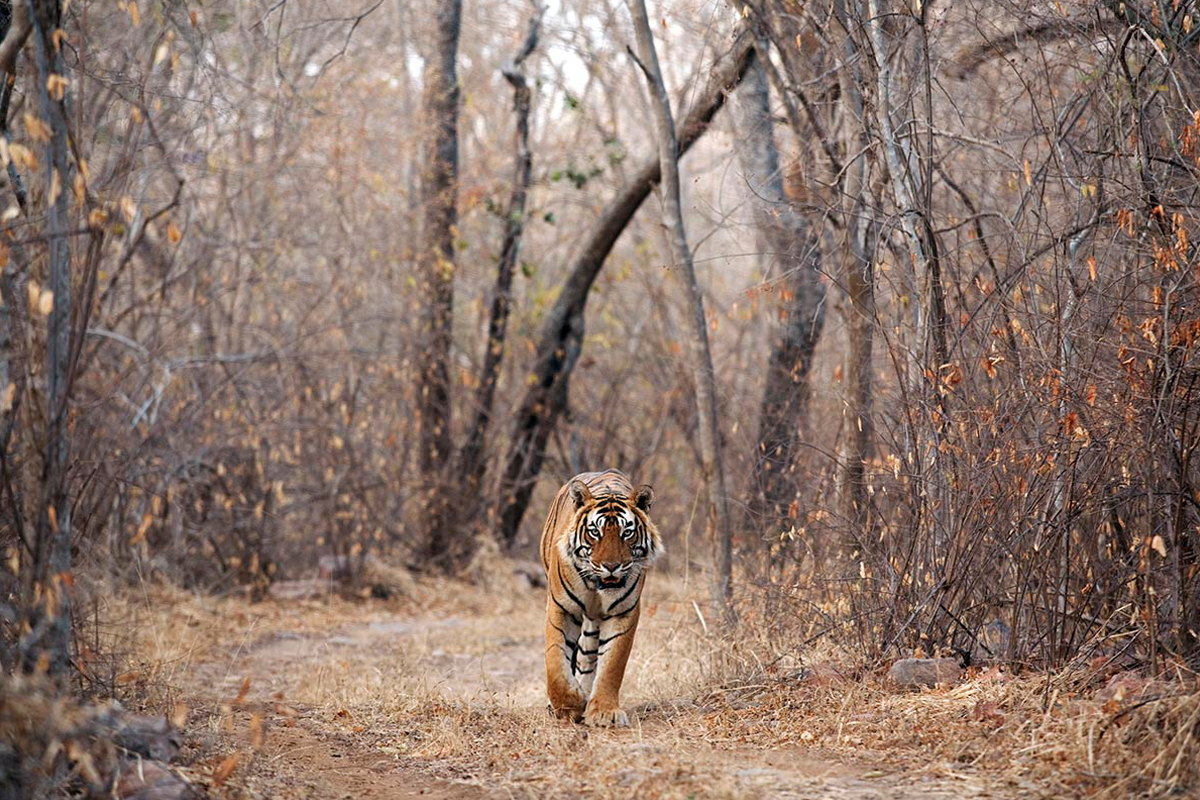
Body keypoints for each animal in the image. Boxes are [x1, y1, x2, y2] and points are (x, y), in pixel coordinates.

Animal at [539, 468, 663, 727]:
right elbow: (555, 660)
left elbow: (612, 664)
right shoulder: (561, 608)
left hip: (593, 623)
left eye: (627, 533)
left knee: (587, 659)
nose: (611, 566)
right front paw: (568, 705)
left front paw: (604, 712)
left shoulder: (623, 612)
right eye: (595, 532)